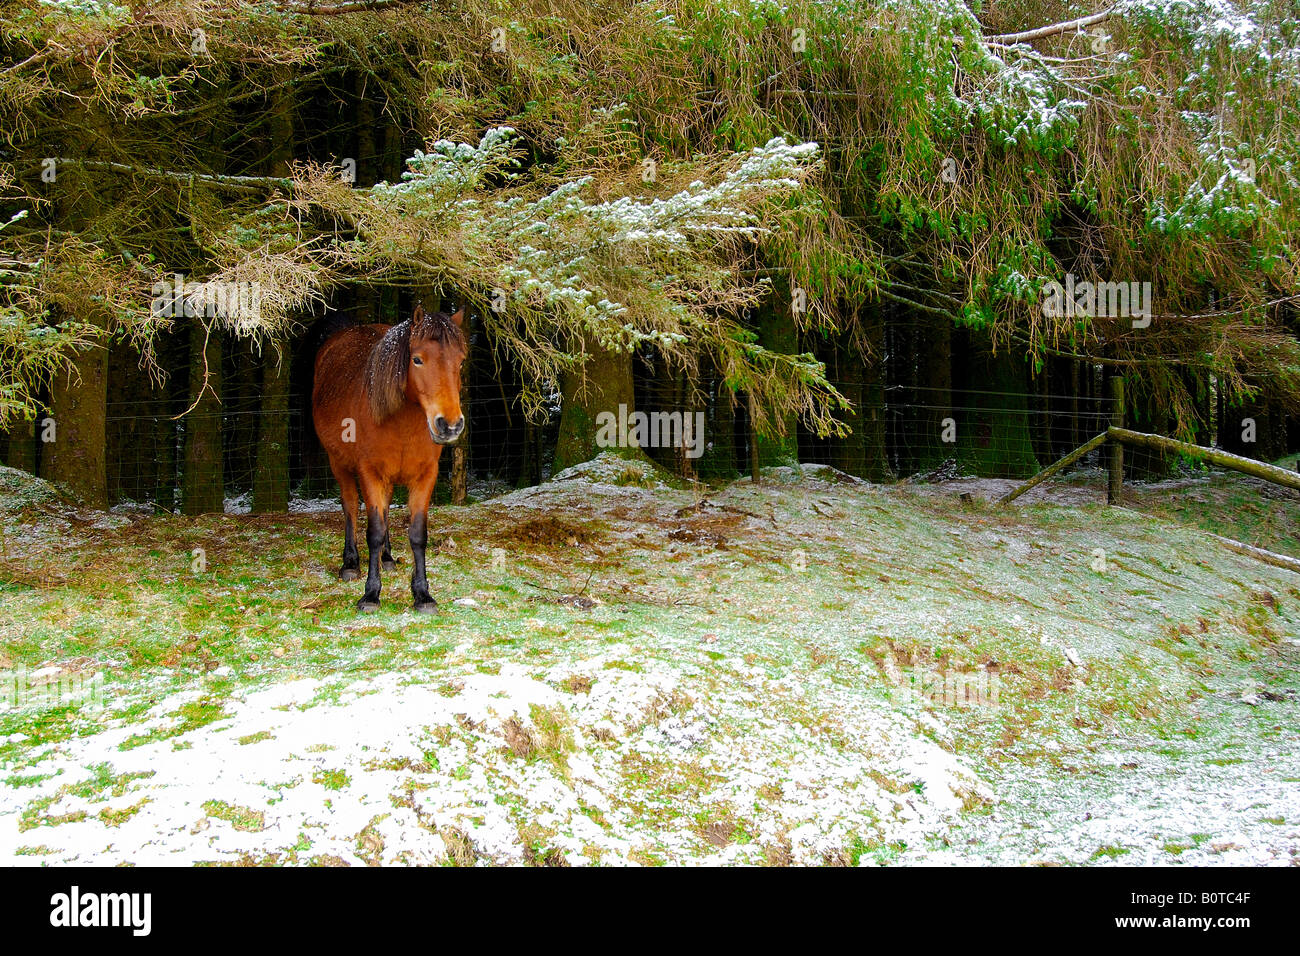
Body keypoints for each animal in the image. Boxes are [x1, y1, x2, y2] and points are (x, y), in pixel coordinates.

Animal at [310, 303, 467, 608]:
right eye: (417, 360)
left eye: (461, 362)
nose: (450, 425)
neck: (402, 423)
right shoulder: (370, 472)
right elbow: (374, 530)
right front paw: (371, 594)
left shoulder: (425, 475)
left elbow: (417, 534)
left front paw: (422, 594)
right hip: (339, 464)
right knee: (350, 506)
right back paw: (350, 563)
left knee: (385, 509)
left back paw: (387, 557)